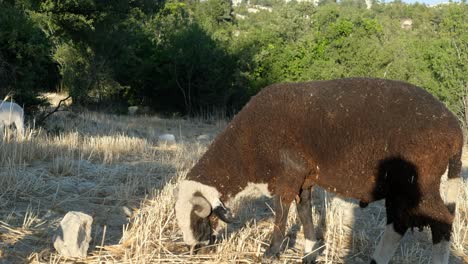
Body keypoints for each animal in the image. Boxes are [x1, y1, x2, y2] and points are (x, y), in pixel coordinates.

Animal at [174, 77, 462, 262]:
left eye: (197, 216)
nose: (195, 248)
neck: (244, 148)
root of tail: (455, 129)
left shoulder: (289, 174)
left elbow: (282, 212)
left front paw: (271, 253)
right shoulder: (304, 178)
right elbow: (304, 212)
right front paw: (309, 252)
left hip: (420, 181)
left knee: (442, 220)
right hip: (401, 186)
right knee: (399, 223)